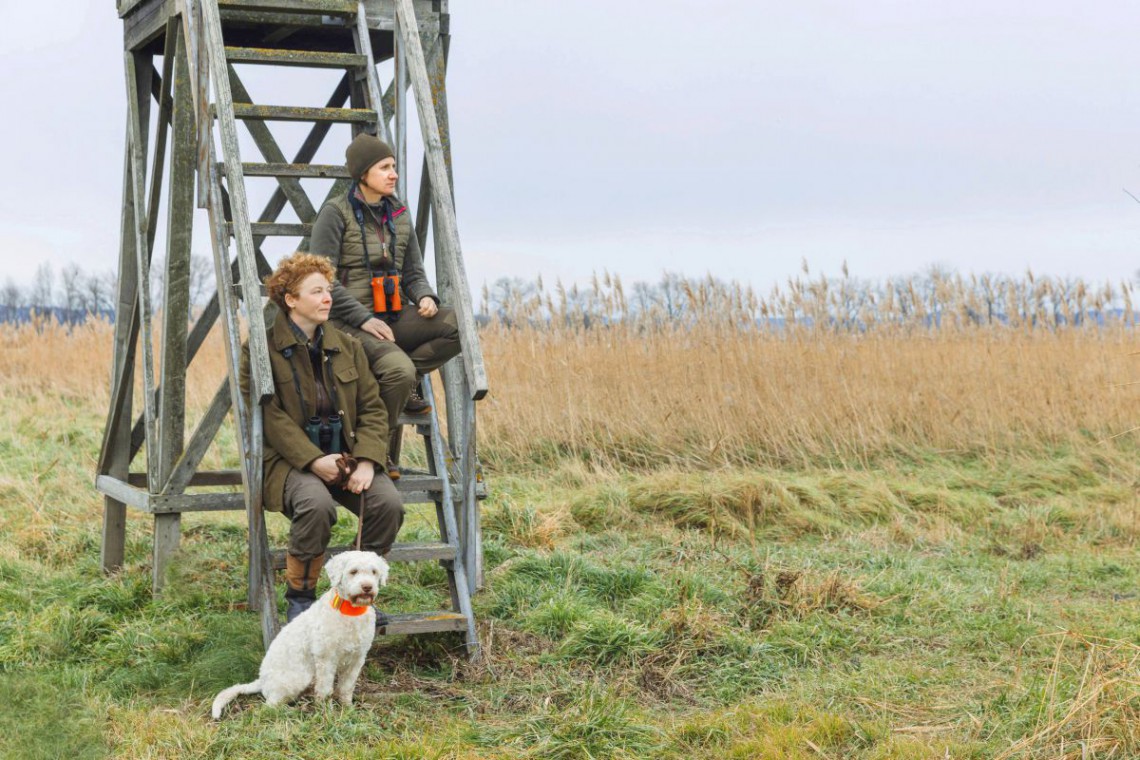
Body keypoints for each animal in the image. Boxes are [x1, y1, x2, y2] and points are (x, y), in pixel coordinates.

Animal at [212, 553, 389, 720]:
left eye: (374, 572)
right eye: (353, 571)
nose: (367, 587)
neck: (349, 613)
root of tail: (261, 679)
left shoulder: (357, 659)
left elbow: (346, 687)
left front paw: (348, 709)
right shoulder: (326, 659)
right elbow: (325, 690)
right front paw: (327, 713)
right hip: (297, 678)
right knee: (269, 706)